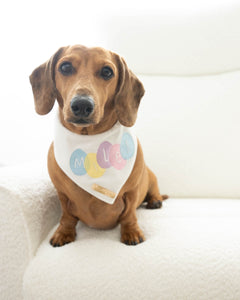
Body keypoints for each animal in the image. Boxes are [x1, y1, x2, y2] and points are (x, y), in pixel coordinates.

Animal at [30, 45, 168, 246]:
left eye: (107, 72)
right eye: (65, 67)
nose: (81, 105)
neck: (89, 139)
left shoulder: (132, 192)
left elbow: (129, 214)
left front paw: (131, 232)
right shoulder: (62, 194)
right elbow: (67, 216)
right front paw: (64, 232)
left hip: (151, 178)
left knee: (154, 191)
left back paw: (155, 200)